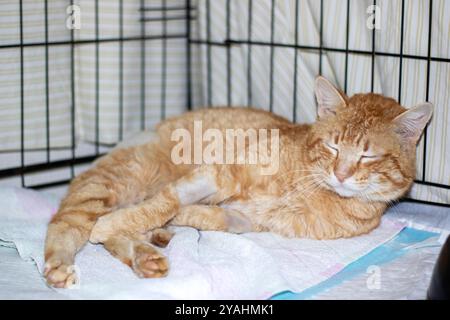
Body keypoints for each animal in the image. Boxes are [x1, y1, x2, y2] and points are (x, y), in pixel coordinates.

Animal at [43, 77, 432, 288]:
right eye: (334, 146)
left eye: (368, 156)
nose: (342, 173)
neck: (312, 187)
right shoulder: (219, 172)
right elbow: (165, 202)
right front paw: (129, 222)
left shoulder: (247, 220)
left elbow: (202, 215)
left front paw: (177, 221)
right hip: (112, 185)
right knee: (68, 223)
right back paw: (67, 262)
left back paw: (149, 253)